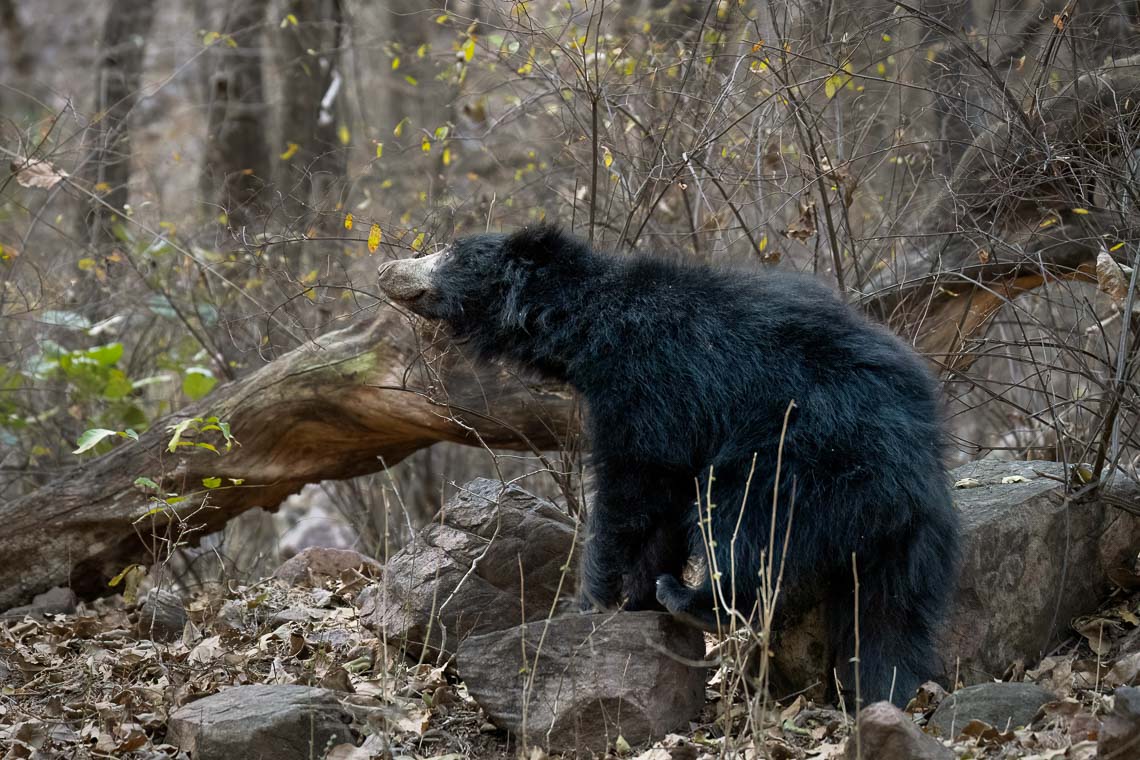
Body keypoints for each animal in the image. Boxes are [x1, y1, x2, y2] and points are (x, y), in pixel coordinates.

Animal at [378, 224, 957, 706]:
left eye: (448, 252)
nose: (386, 270)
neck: (589, 326)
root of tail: (912, 478)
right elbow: (661, 497)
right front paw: (632, 599)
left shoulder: (650, 385)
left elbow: (635, 487)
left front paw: (594, 601)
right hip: (906, 539)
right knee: (890, 613)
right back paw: (884, 692)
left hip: (805, 454)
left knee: (741, 521)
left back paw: (692, 599)